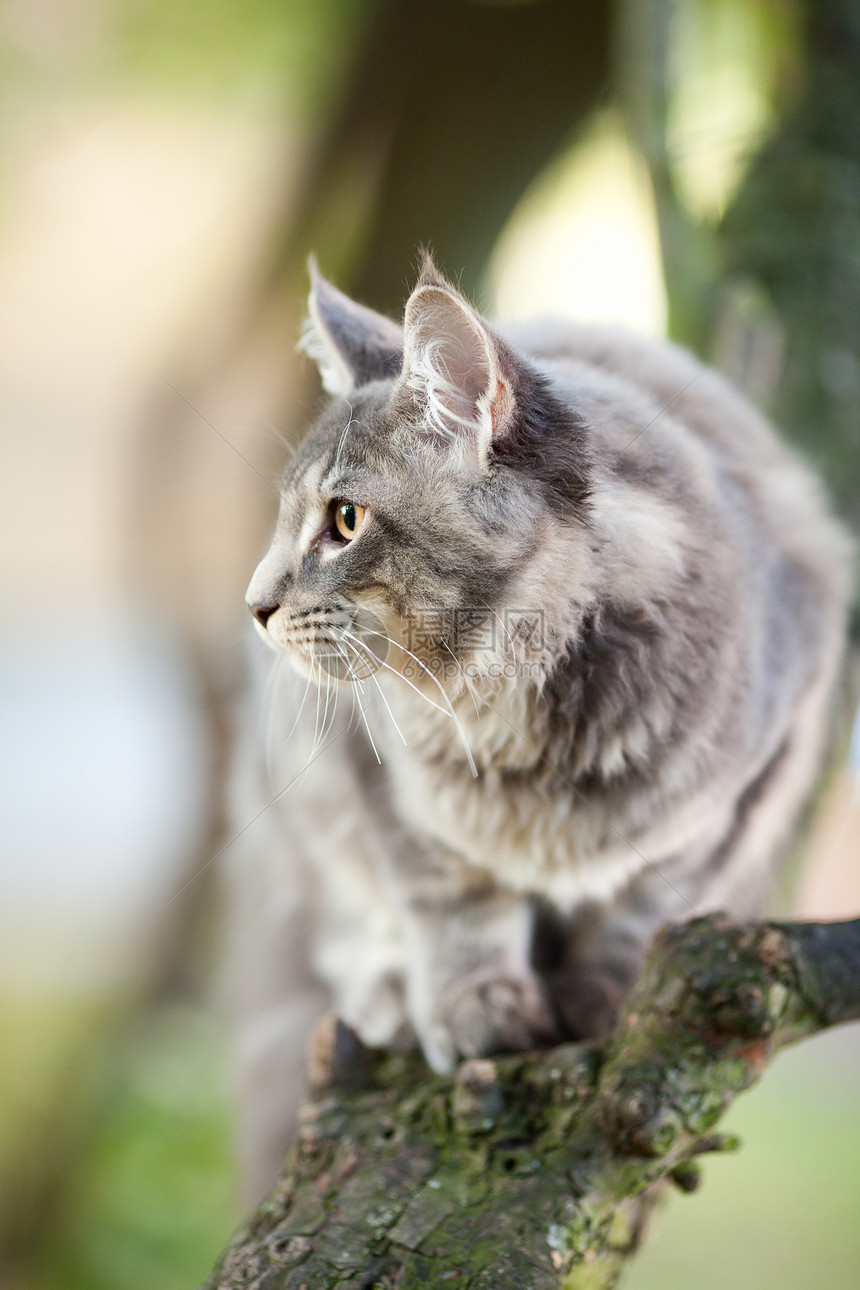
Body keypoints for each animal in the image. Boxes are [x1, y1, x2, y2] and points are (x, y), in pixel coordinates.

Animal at [228, 256, 856, 1202]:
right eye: (283, 519)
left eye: (344, 520)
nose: (257, 605)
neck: (517, 714)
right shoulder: (375, 776)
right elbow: (448, 900)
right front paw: (476, 1003)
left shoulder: (747, 782)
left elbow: (646, 905)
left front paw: (605, 998)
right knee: (340, 927)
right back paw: (388, 997)